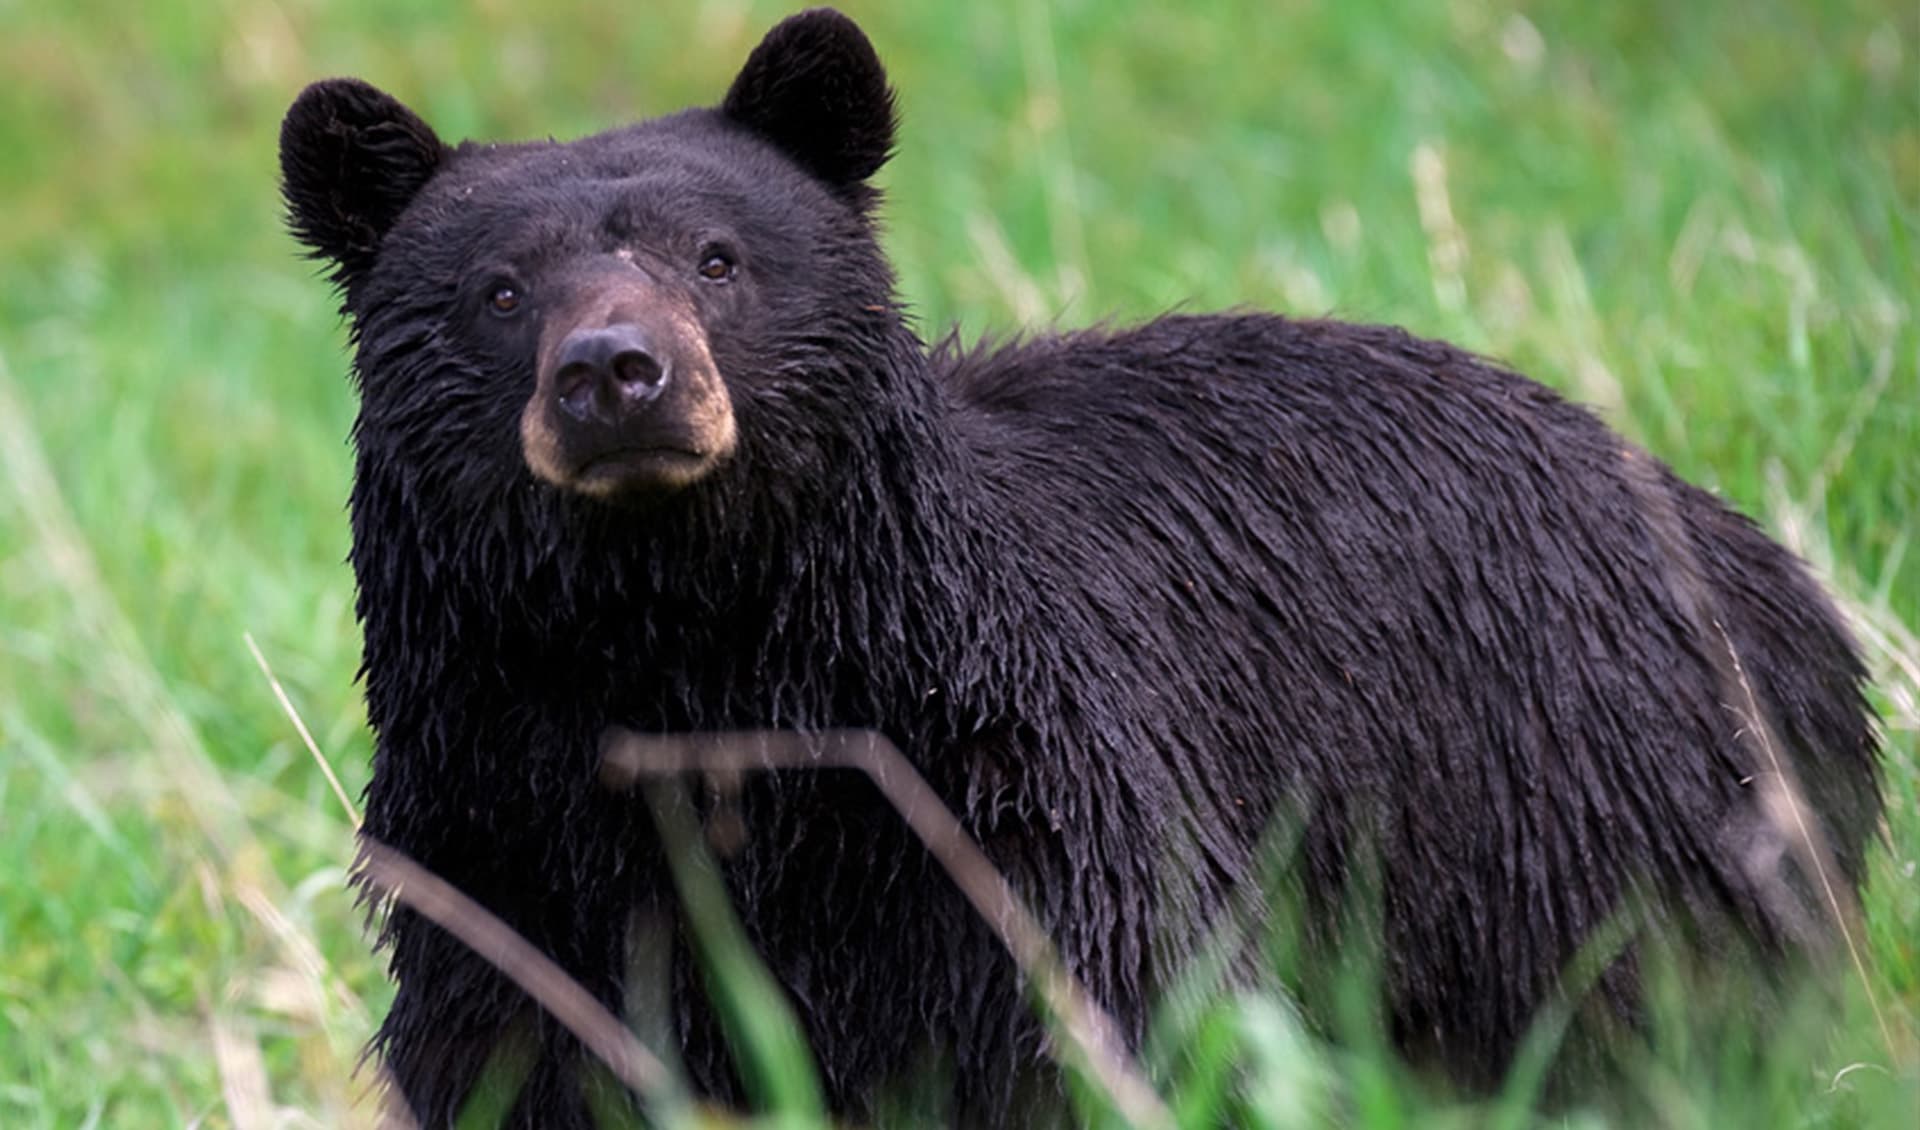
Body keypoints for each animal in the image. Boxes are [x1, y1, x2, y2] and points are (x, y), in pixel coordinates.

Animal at [279, 8, 1881, 1127]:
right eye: (498, 291)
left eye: (720, 259)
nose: (618, 374)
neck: (689, 656)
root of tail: (1764, 565)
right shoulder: (502, 849)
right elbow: (526, 1053)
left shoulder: (1002, 811)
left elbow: (1106, 1018)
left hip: (1589, 809)